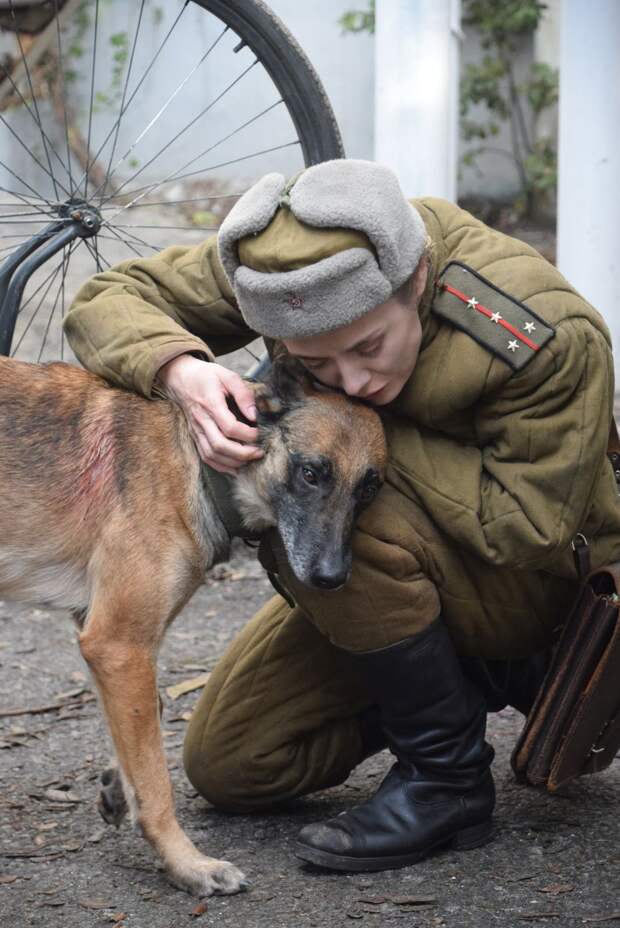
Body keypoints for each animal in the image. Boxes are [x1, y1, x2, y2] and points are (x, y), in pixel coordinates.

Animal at [0, 354, 388, 892]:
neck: (193, 462)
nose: (331, 578)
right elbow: (157, 783)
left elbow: (149, 724)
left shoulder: (106, 641)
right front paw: (187, 865)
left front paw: (118, 785)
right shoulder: (119, 644)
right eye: (310, 473)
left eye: (368, 488)